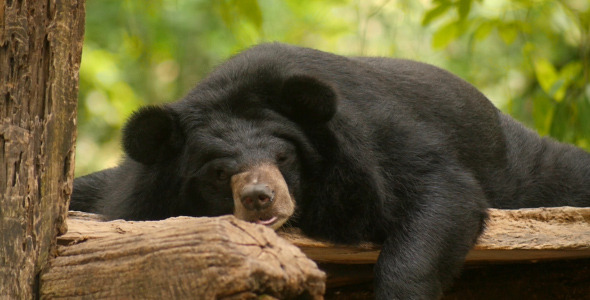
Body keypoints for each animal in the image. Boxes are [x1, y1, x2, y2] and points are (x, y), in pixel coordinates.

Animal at [73, 42, 590, 300]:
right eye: (218, 173)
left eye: (283, 156)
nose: (260, 197)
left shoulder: (373, 139)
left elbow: (440, 190)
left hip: (527, 168)